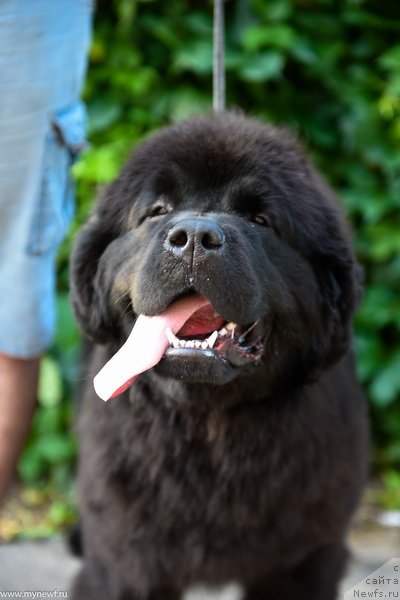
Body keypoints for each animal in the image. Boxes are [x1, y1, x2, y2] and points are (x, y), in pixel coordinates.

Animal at [69, 110, 368, 596]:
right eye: (158, 210)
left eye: (261, 219)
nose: (193, 236)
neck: (208, 429)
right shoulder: (125, 563)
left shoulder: (302, 559)